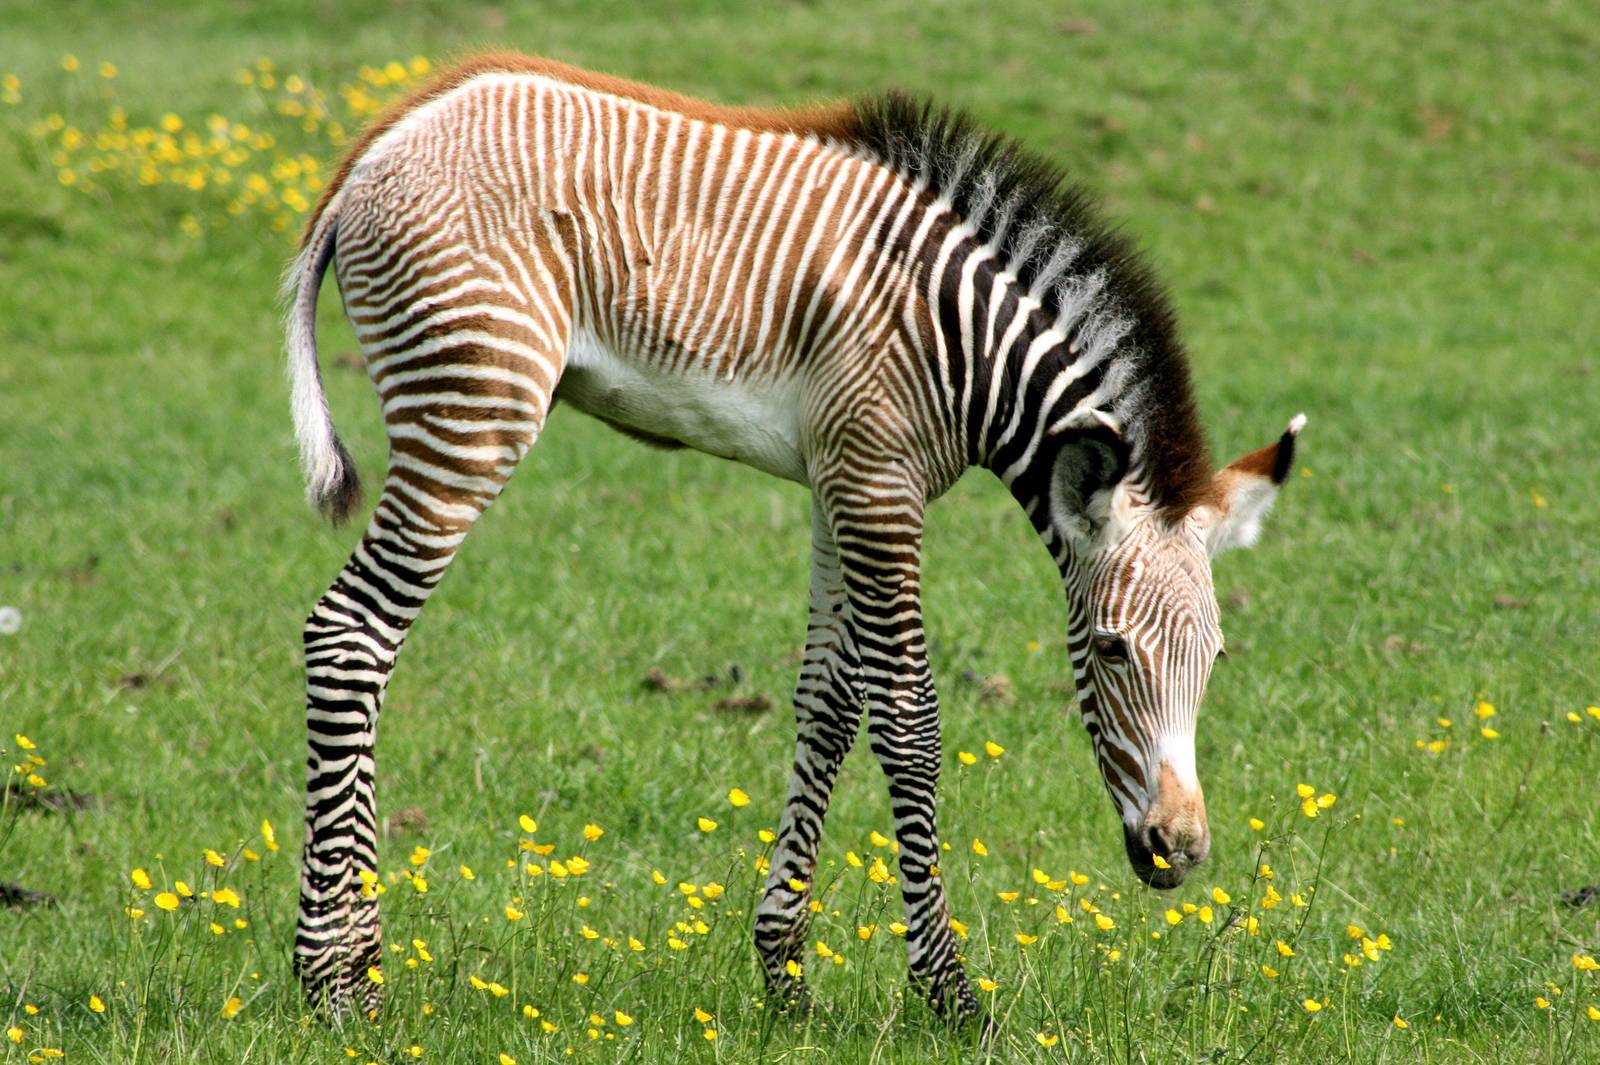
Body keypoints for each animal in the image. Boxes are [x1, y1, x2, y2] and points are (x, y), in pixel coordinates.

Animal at [281, 53, 1304, 1022]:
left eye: (1215, 657)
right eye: (1111, 649)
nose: (1182, 851)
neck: (961, 342)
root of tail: (380, 144)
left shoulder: (839, 482)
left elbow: (830, 704)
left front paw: (785, 975)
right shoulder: (880, 485)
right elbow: (909, 720)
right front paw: (948, 992)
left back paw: (348, 967)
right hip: (473, 408)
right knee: (352, 635)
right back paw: (339, 982)